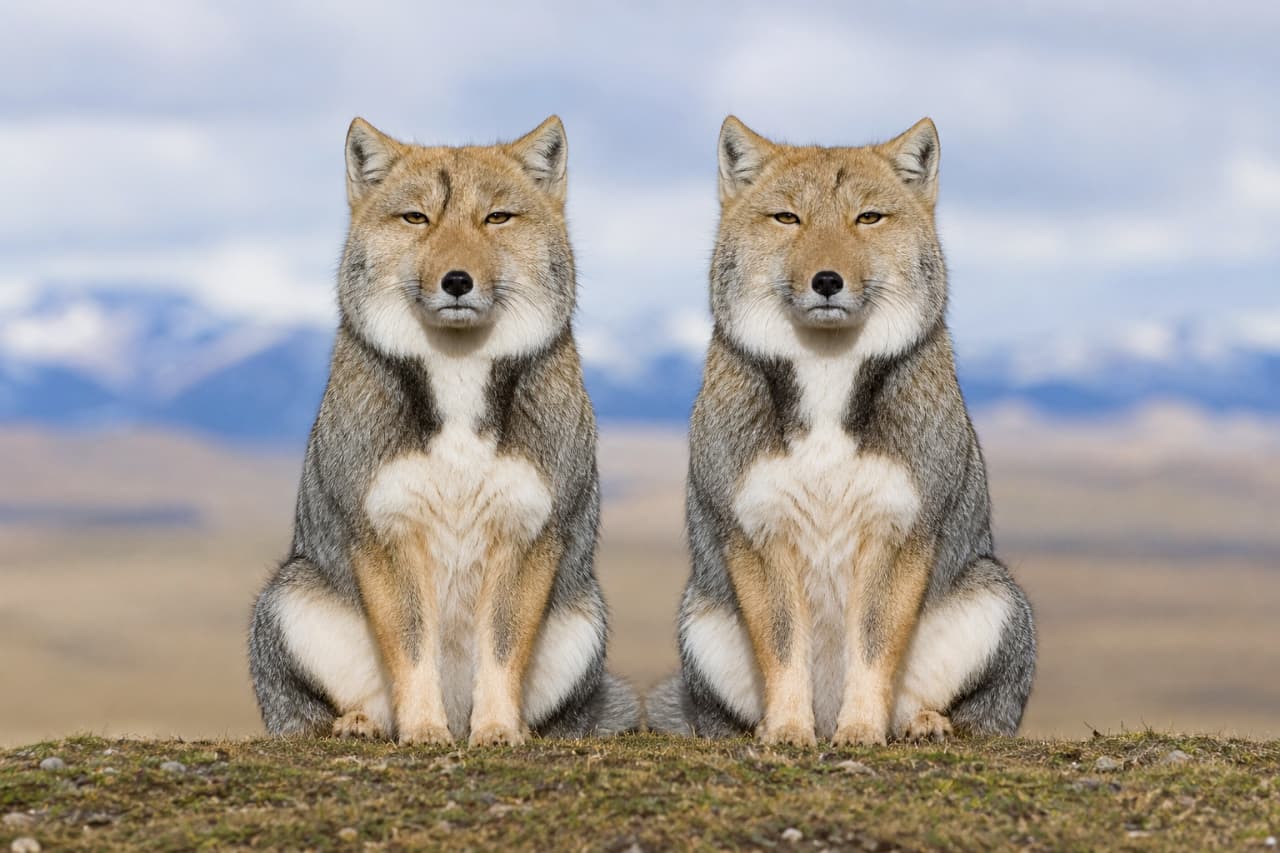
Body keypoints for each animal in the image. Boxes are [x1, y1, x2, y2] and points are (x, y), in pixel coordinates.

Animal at [248, 116, 639, 745]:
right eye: (417, 218)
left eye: (496, 217)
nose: (457, 281)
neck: (458, 382)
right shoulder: (388, 530)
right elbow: (412, 651)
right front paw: (426, 733)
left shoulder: (526, 532)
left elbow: (500, 652)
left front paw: (498, 732)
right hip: (287, 600)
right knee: (321, 712)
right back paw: (362, 724)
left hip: (586, 621)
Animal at [647, 117, 1036, 745]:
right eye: (788, 218)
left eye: (868, 218)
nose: (826, 281)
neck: (827, 382)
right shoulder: (759, 531)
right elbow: (784, 651)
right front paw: (786, 731)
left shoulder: (897, 530)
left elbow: (873, 651)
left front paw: (860, 731)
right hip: (698, 622)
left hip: (997, 596)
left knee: (970, 715)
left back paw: (922, 723)